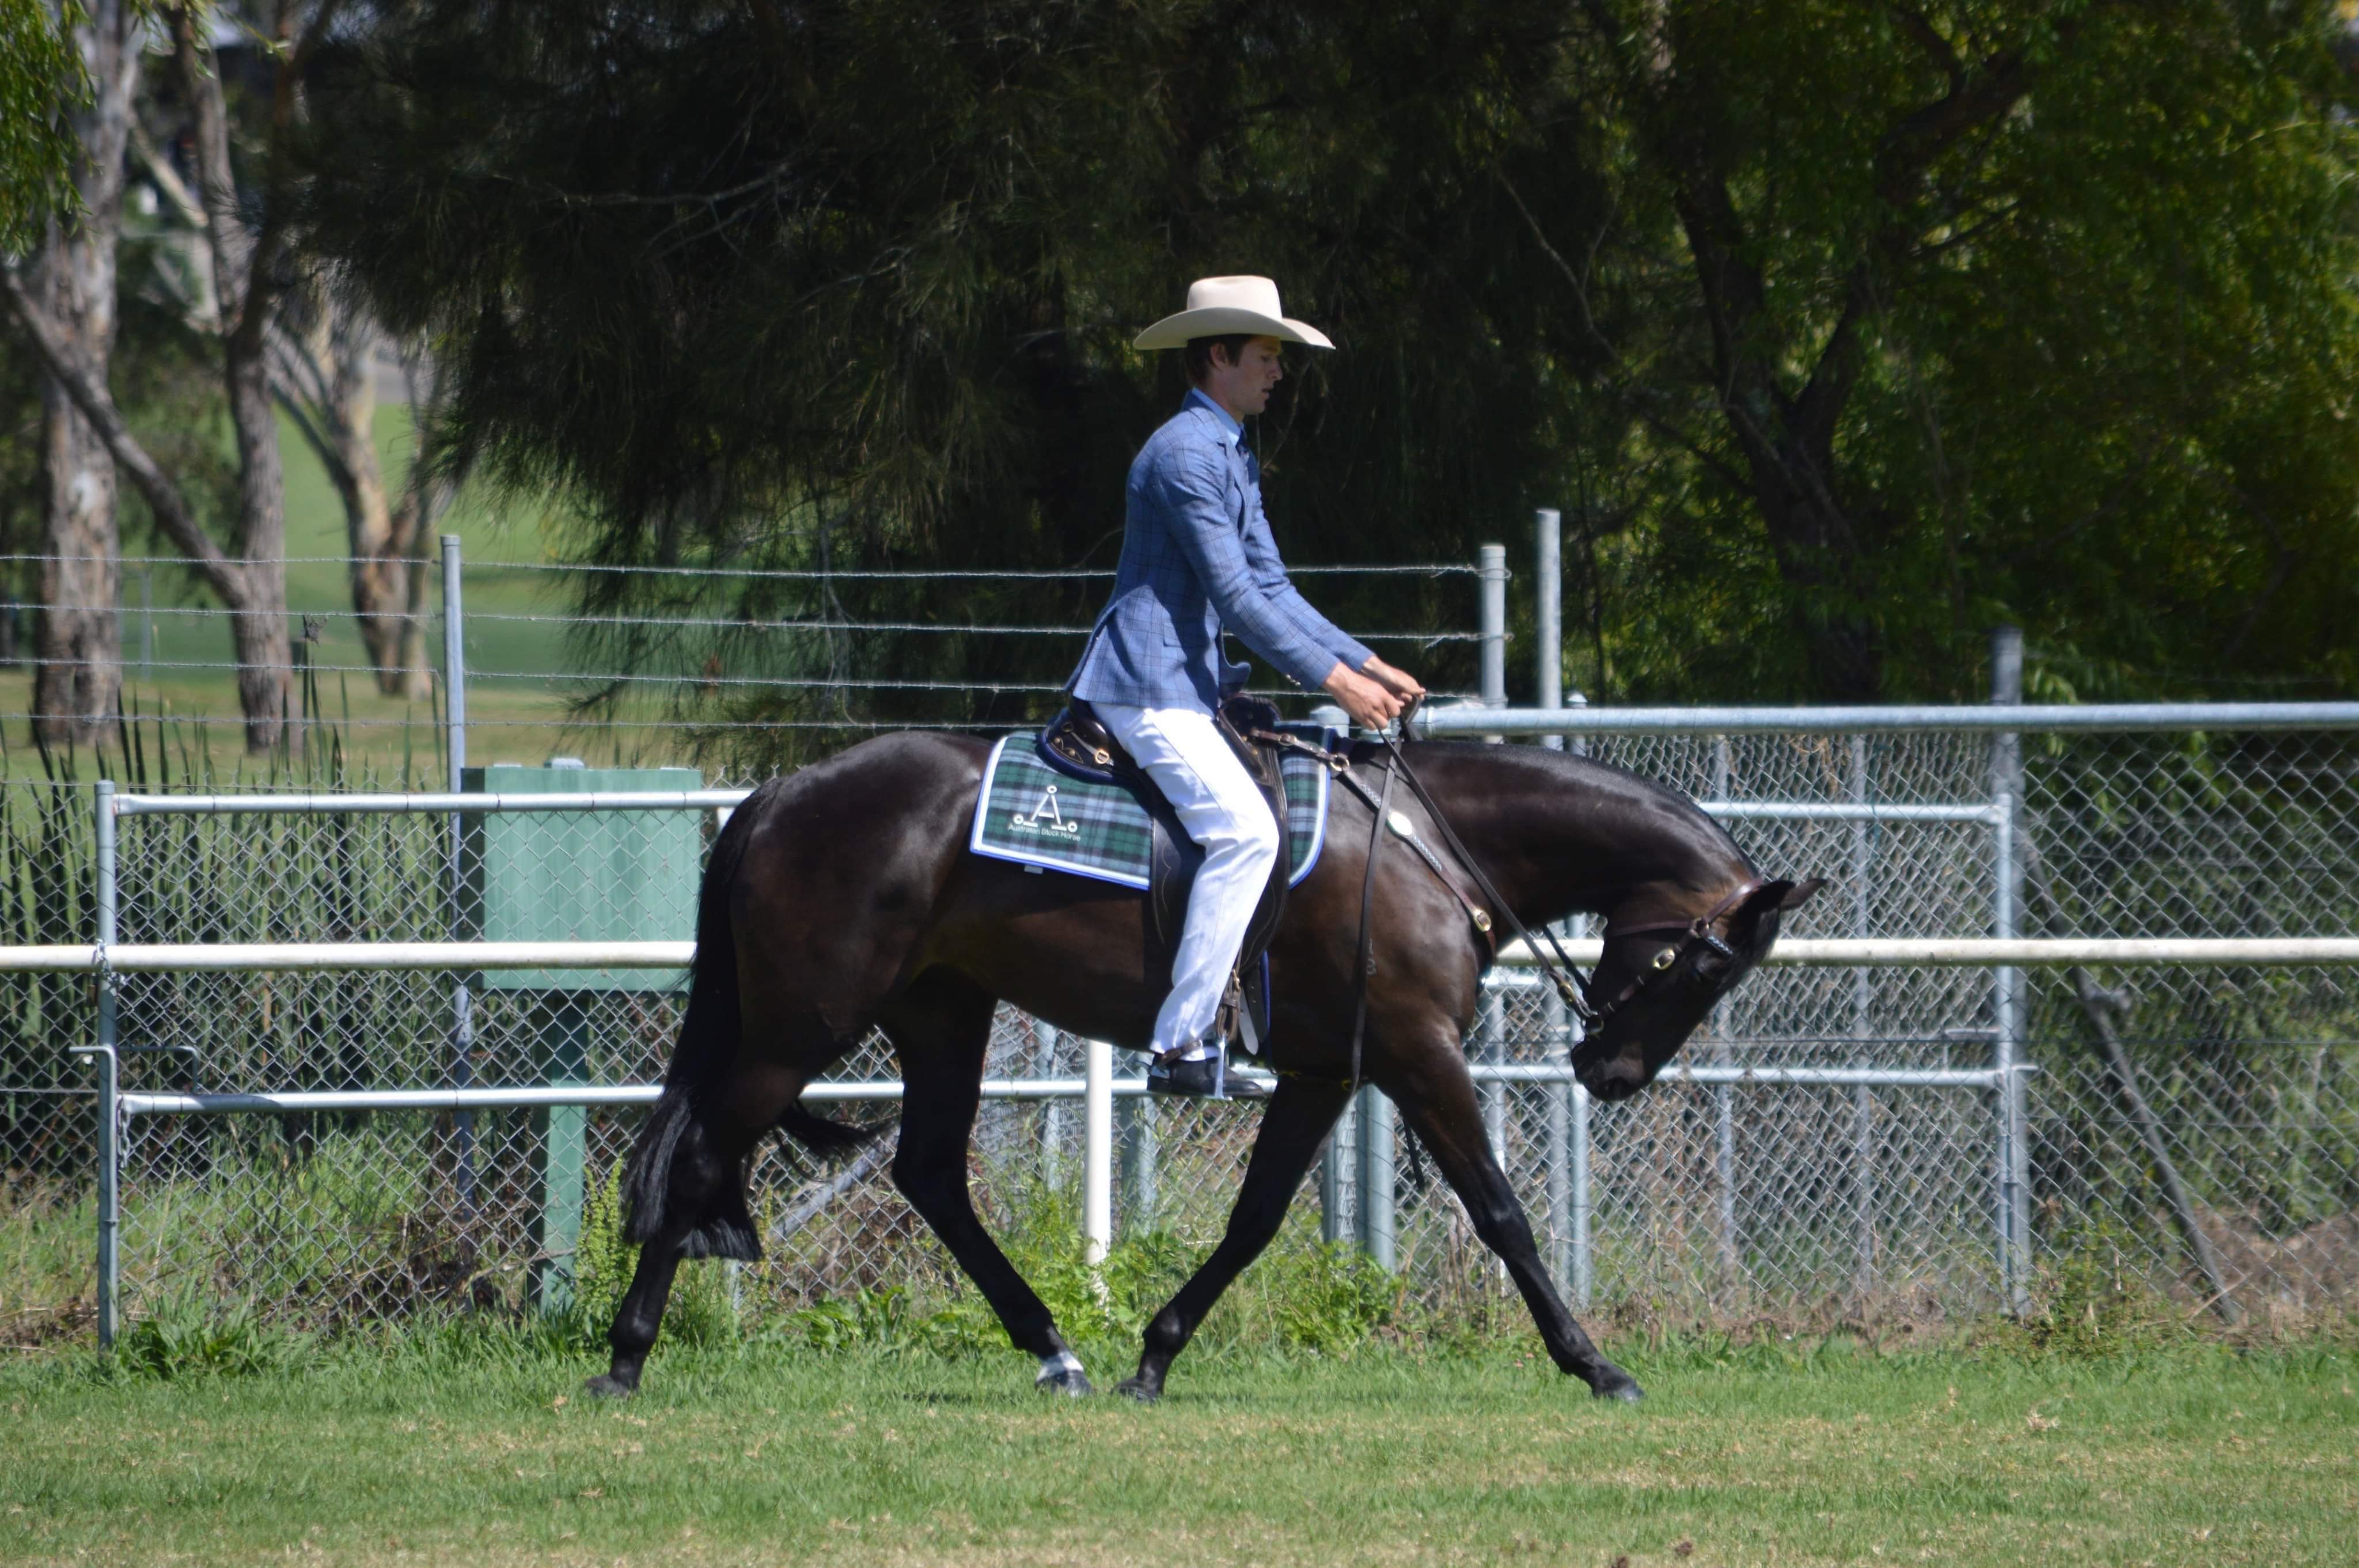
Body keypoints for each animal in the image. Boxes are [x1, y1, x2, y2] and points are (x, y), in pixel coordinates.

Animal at [586, 727, 1822, 1404]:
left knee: (929, 1173)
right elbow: (1502, 1212)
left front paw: (1155, 1353)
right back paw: (625, 1356)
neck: (1424, 842)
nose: (1612, 1071)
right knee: (701, 1158)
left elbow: (1254, 1220)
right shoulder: (1418, 1054)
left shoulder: (1326, 1075)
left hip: (941, 1016)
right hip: (797, 1029)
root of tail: (781, 794)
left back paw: (1055, 1348)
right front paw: (1593, 1362)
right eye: (1699, 966)